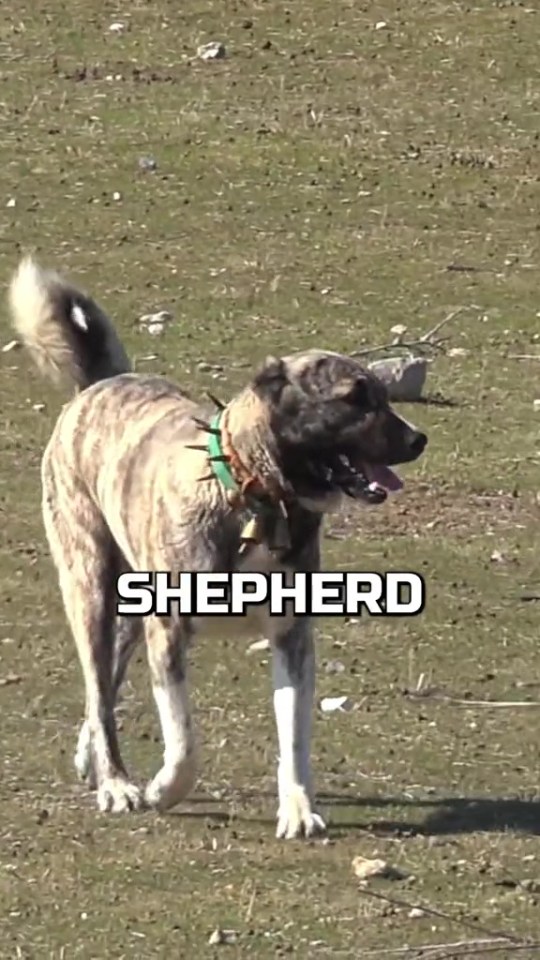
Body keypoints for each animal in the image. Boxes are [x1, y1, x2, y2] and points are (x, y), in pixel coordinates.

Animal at [8, 256, 428, 840]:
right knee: (98, 688)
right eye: (352, 399)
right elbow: (184, 740)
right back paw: (116, 782)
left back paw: (93, 759)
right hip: (90, 589)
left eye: (386, 398)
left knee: (105, 690)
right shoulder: (168, 633)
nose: (418, 440)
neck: (258, 498)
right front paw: (163, 790)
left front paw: (298, 809)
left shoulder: (292, 639)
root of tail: (100, 384)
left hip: (129, 613)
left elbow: (294, 737)